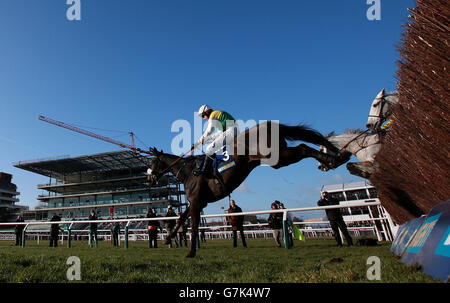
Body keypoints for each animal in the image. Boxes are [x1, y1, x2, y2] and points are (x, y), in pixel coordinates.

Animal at [148, 121, 342, 258]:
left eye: (152, 162)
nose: (149, 177)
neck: (189, 172)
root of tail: (271, 124)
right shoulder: (198, 202)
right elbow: (181, 218)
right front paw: (168, 238)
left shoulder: (196, 202)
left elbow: (194, 225)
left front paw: (191, 252)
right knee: (303, 147)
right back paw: (333, 159)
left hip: (275, 158)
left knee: (303, 148)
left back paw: (331, 159)